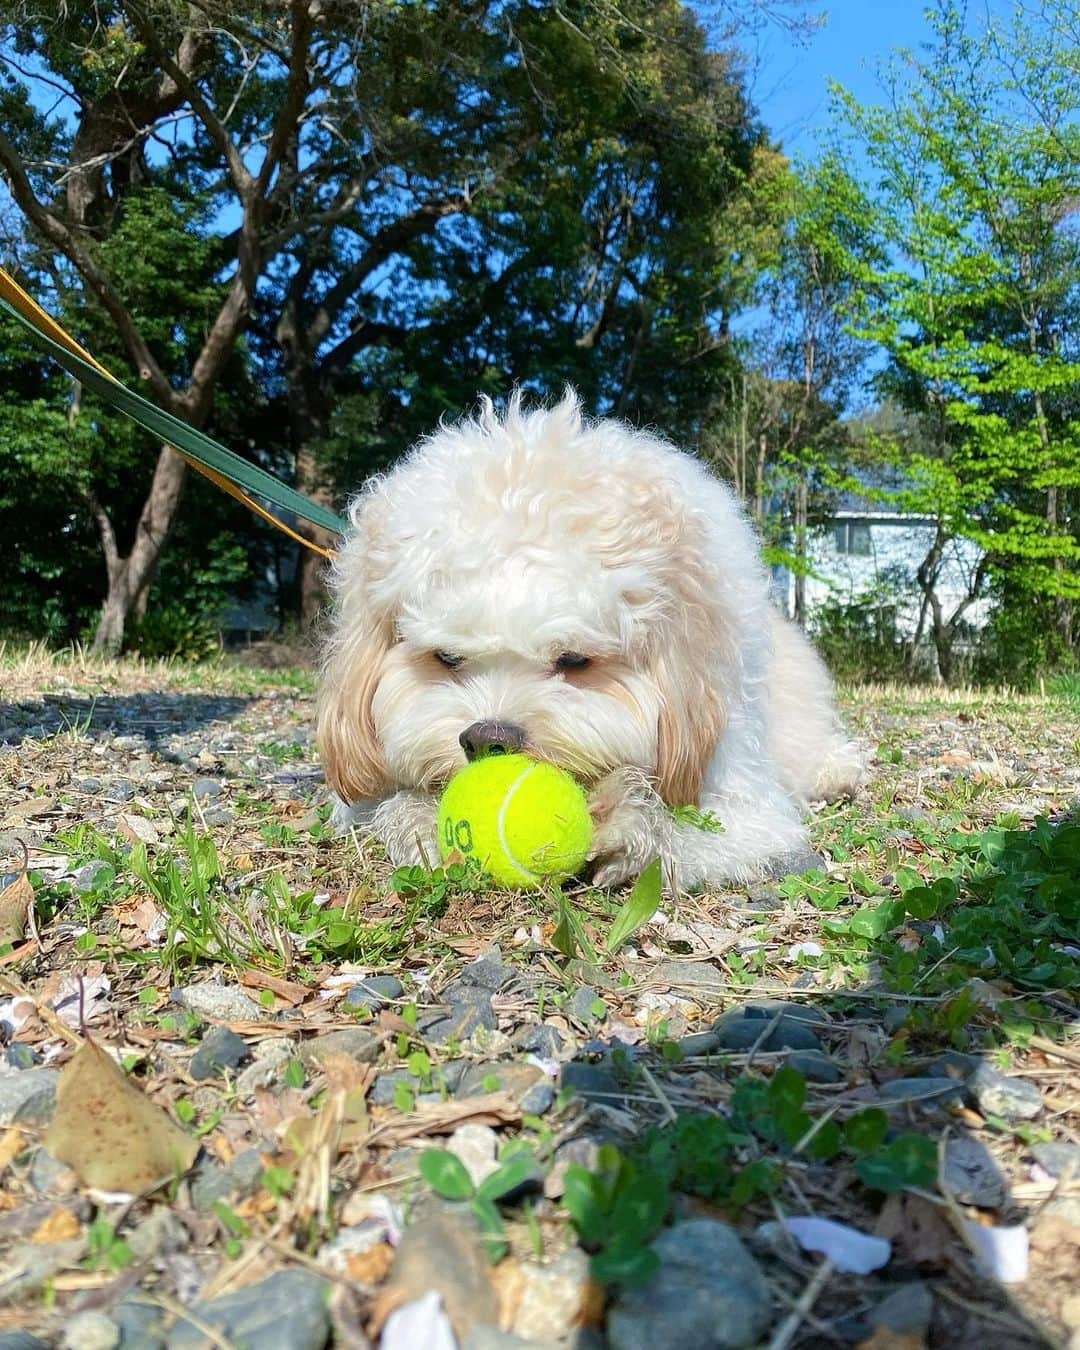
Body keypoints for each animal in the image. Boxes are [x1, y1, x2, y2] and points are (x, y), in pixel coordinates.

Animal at [315, 394, 864, 885]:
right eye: (446, 656)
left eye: (574, 659)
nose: (489, 738)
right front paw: (419, 819)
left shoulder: (744, 800)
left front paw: (630, 820)